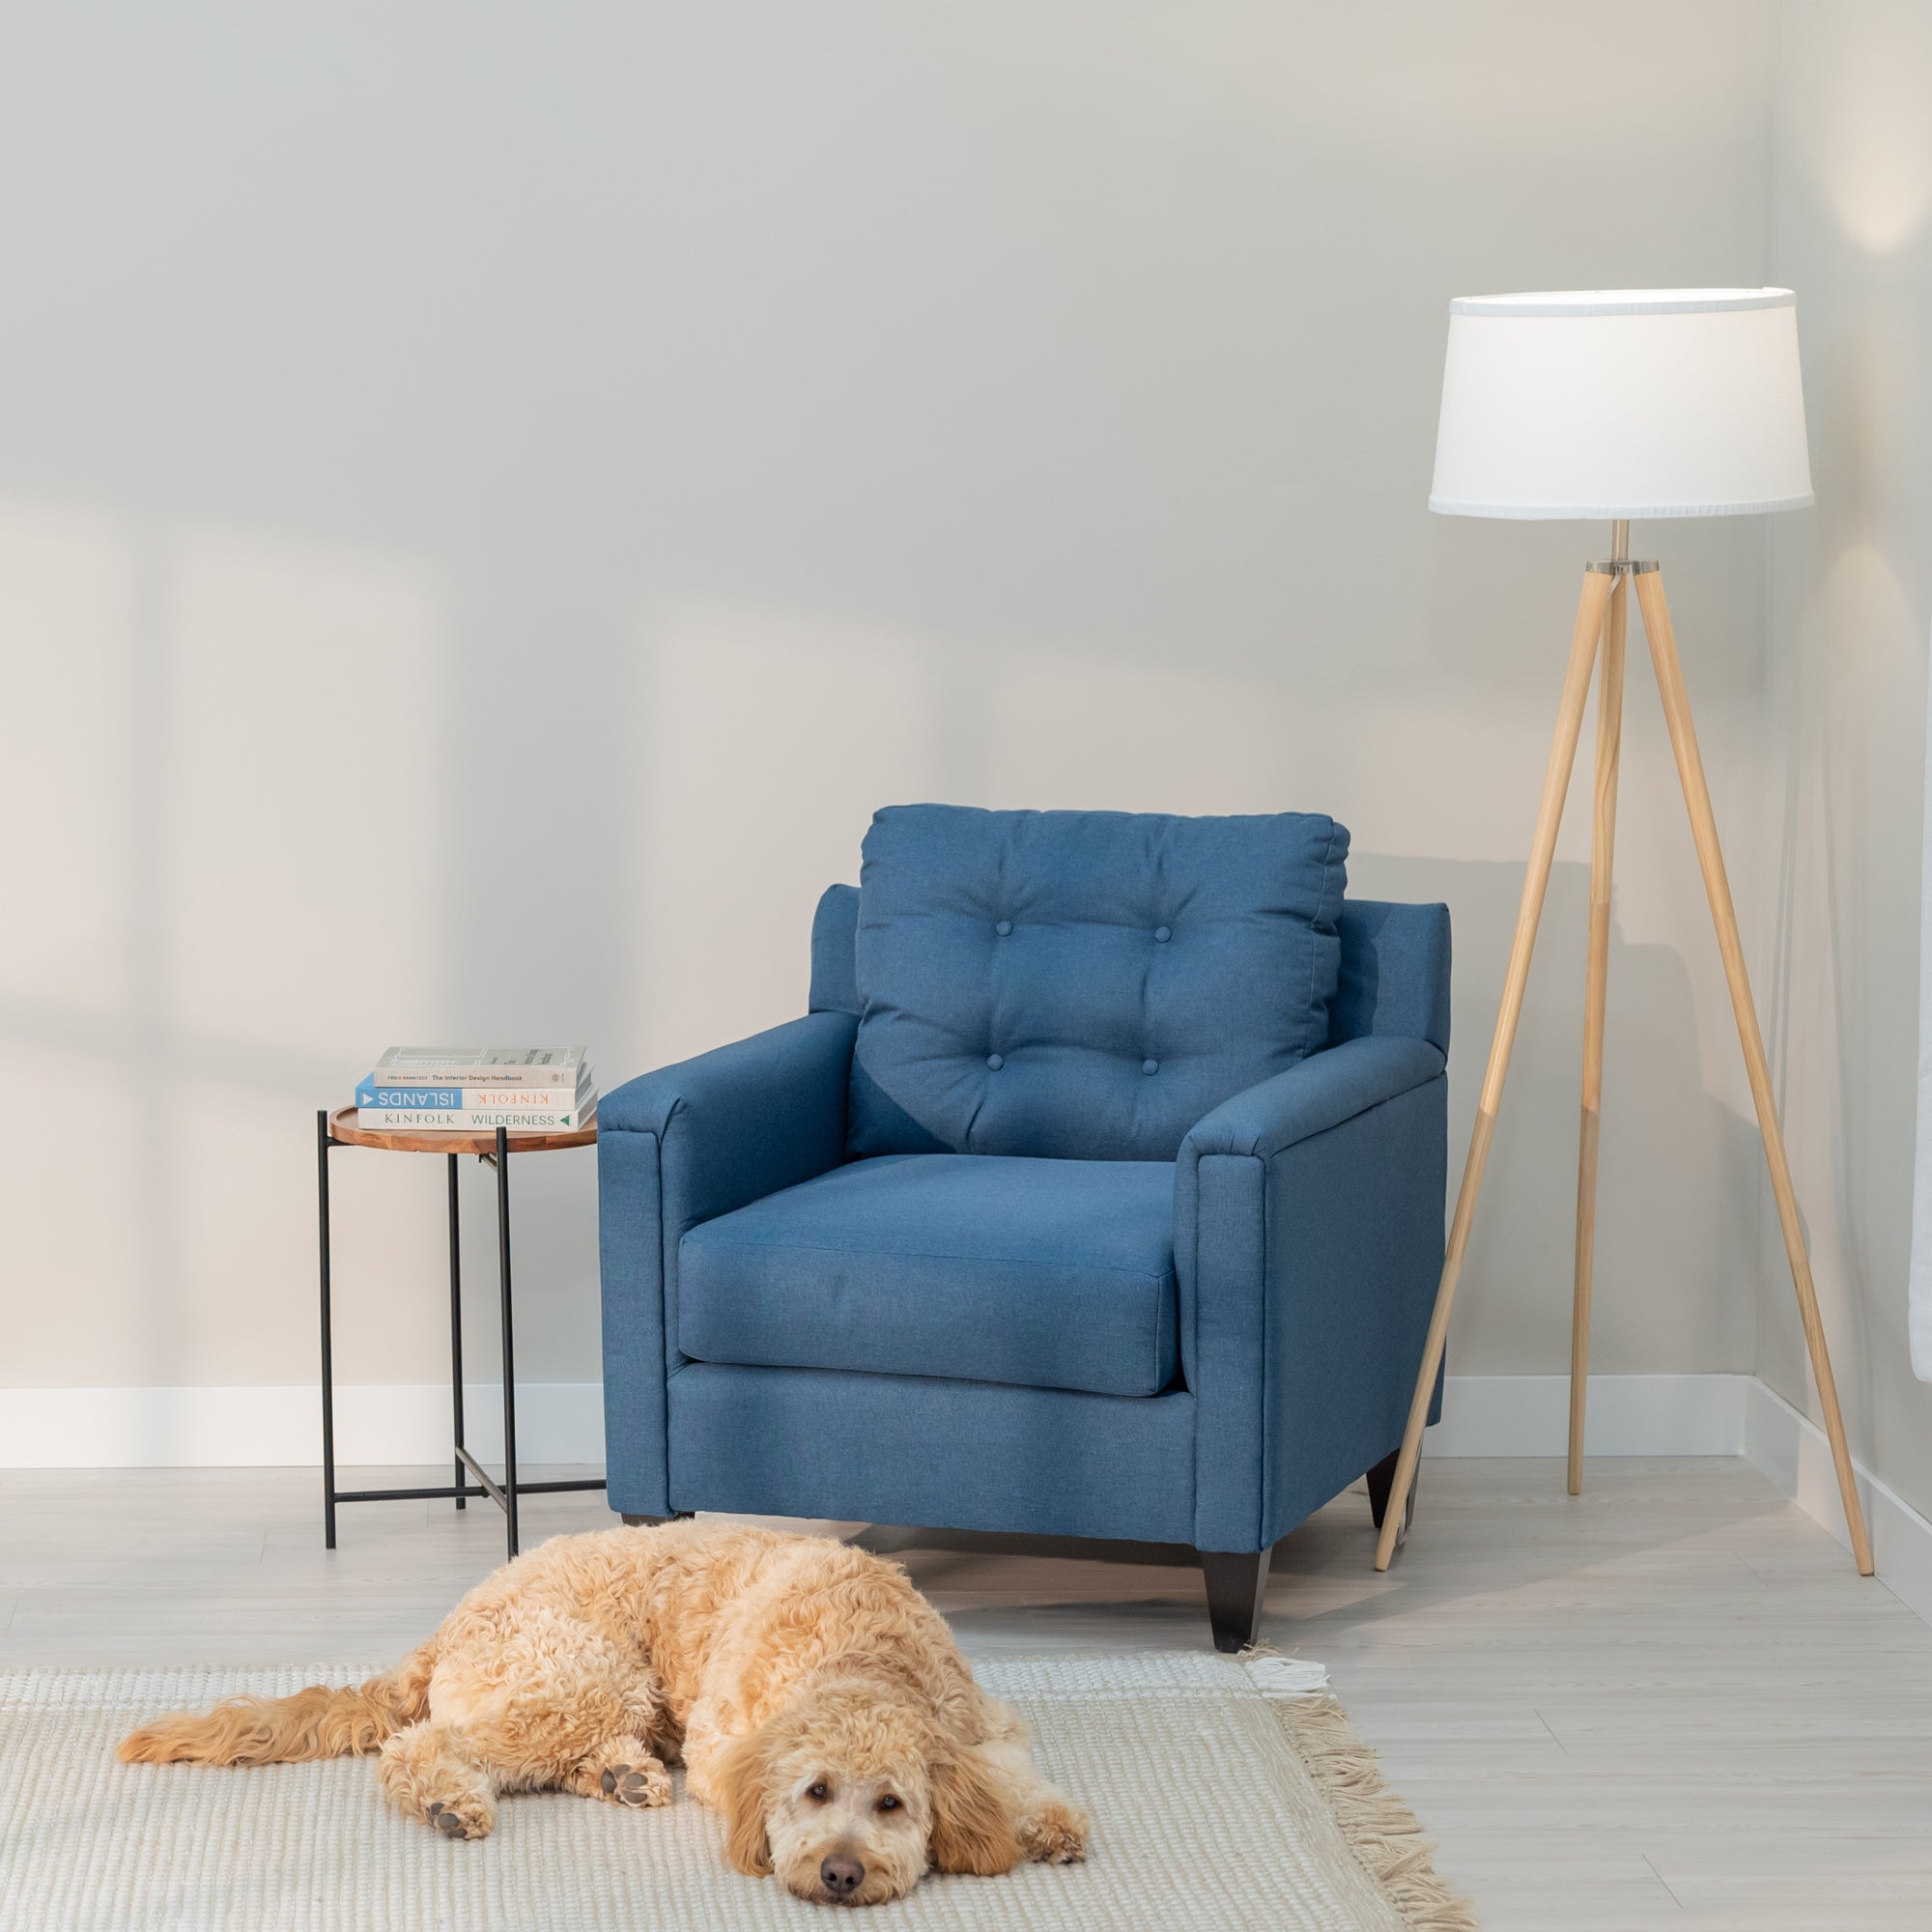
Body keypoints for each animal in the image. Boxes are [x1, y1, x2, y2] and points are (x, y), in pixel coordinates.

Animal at [117, 1515, 1090, 1909]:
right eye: (812, 1794)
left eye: (892, 1804)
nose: (839, 1874)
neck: (861, 1651)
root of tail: (452, 1620)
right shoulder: (727, 1746)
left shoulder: (983, 1722)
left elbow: (1015, 1776)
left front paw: (1047, 1822)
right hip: (583, 1677)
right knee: (424, 1747)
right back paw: (450, 1801)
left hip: (597, 1695)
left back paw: (622, 1775)